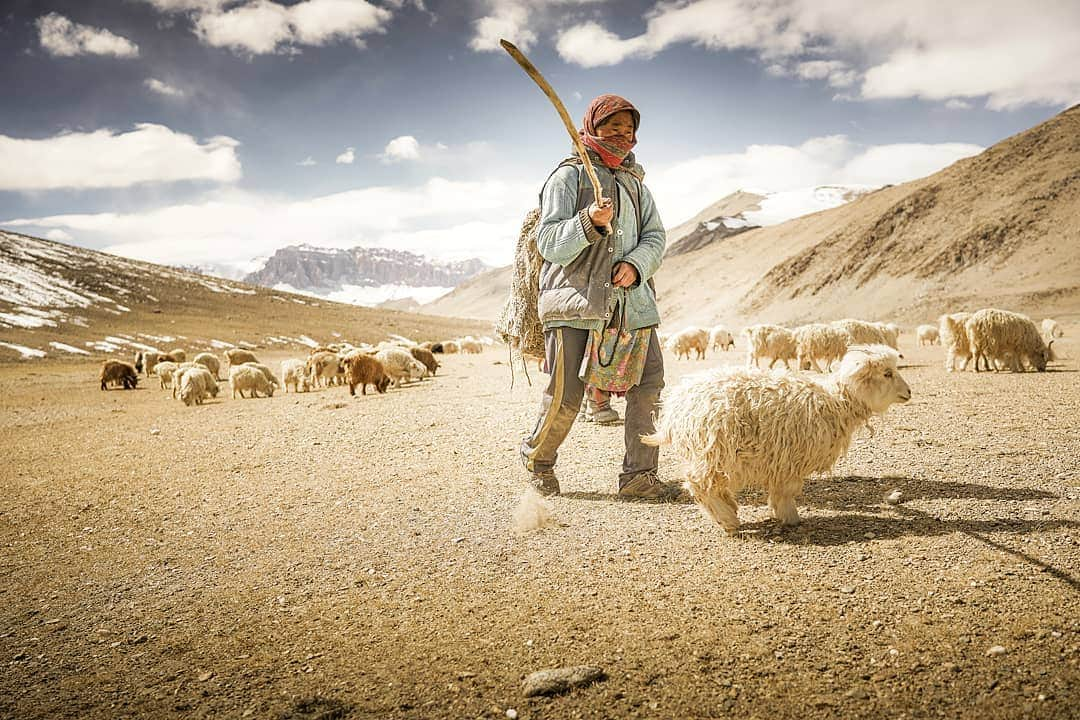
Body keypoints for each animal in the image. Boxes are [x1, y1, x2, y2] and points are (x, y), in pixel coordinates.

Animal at [648, 343, 911, 535]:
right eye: (887, 373)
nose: (909, 392)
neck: (835, 402)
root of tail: (675, 407)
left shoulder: (782, 458)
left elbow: (780, 489)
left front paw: (782, 513)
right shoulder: (791, 459)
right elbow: (787, 490)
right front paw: (790, 517)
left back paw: (728, 508)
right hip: (714, 449)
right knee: (699, 483)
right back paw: (728, 519)